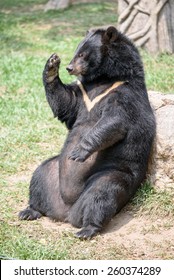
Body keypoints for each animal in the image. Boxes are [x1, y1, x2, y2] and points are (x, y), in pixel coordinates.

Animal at [18, 26, 155, 238]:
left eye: (82, 54)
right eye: (76, 51)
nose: (69, 67)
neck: (104, 79)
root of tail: (65, 211)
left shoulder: (125, 94)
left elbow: (114, 121)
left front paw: (78, 152)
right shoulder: (82, 93)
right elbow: (65, 102)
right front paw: (51, 64)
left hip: (111, 173)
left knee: (101, 195)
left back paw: (87, 229)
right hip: (52, 172)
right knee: (39, 178)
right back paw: (29, 210)